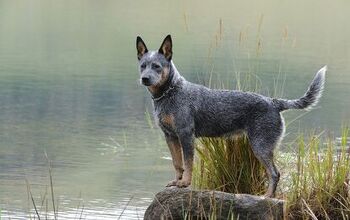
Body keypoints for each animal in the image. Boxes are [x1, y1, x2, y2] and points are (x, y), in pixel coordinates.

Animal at [136, 34, 326, 198]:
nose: (144, 78)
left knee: (275, 173)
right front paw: (177, 182)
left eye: (157, 66)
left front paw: (185, 183)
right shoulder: (170, 136)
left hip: (260, 146)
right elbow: (177, 163)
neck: (170, 92)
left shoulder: (186, 135)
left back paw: (267, 196)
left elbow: (188, 163)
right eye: (143, 65)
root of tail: (274, 102)